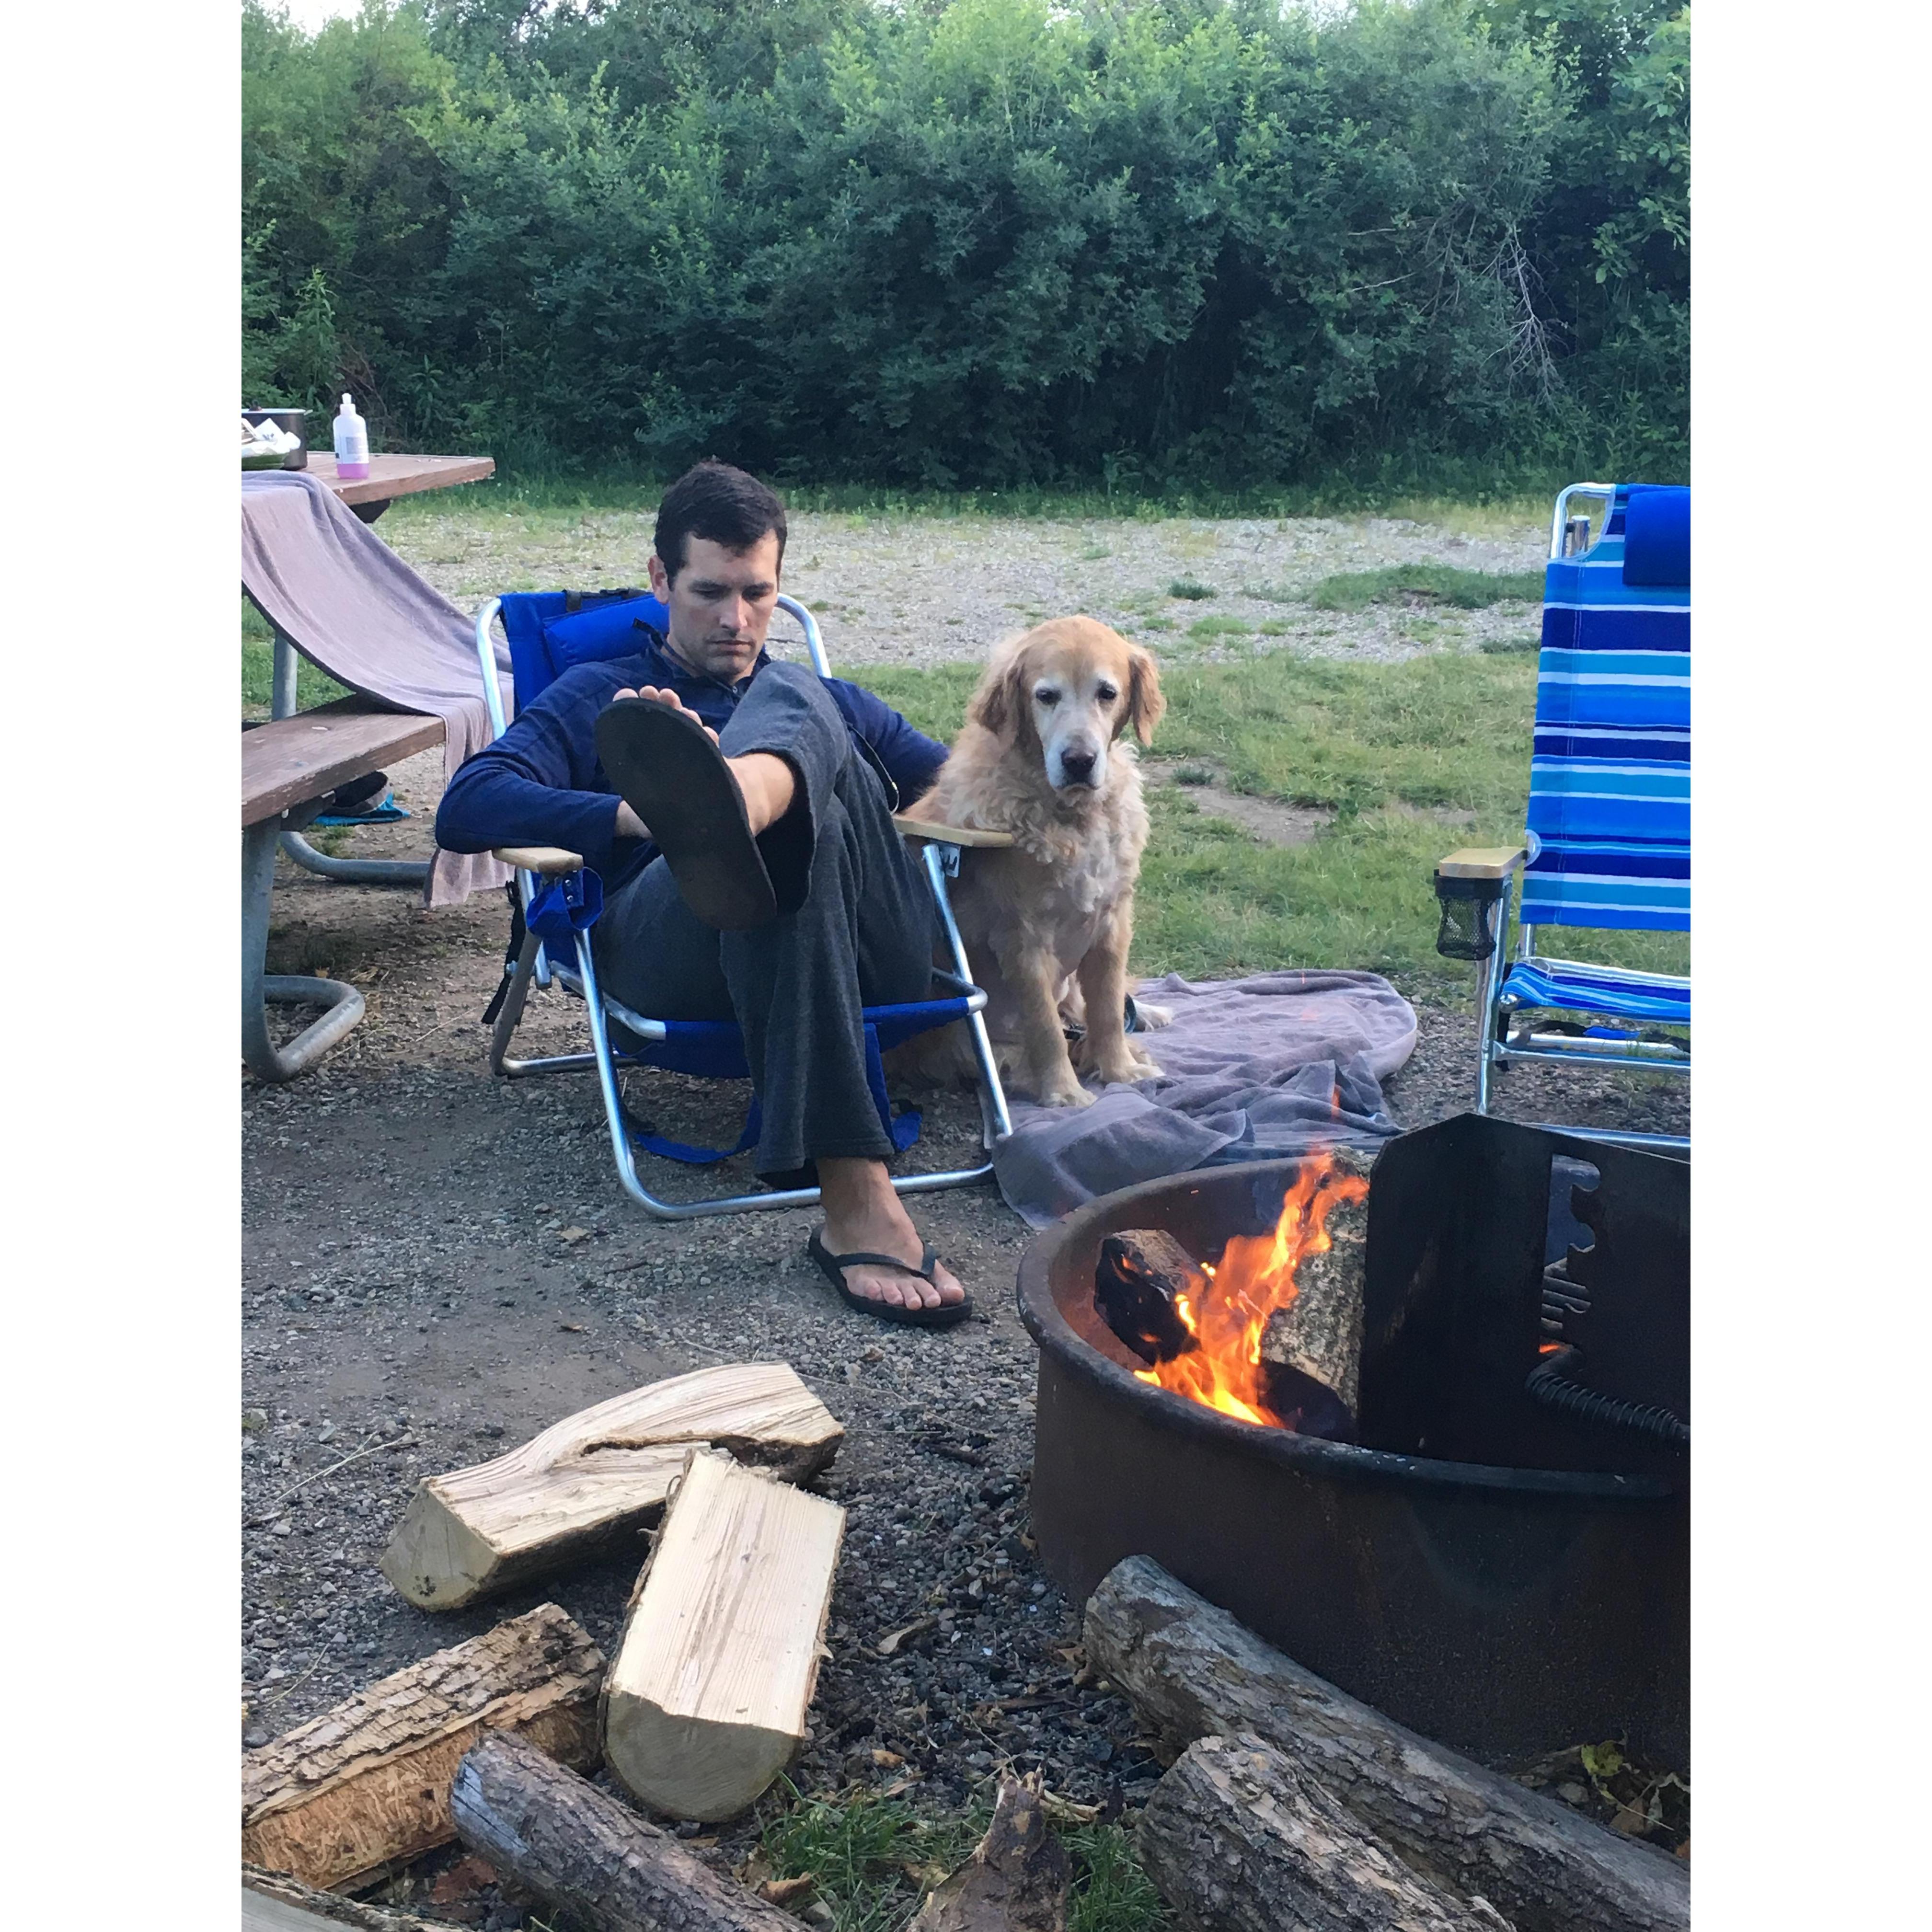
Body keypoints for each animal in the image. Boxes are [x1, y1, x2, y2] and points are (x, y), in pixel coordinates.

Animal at [908, 610, 1167, 1113]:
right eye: (1046, 696)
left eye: (1107, 693)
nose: (1079, 760)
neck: (1073, 816)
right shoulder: (1023, 938)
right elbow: (1045, 1026)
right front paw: (1065, 1092)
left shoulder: (1112, 921)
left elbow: (1109, 1007)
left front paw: (1121, 1071)